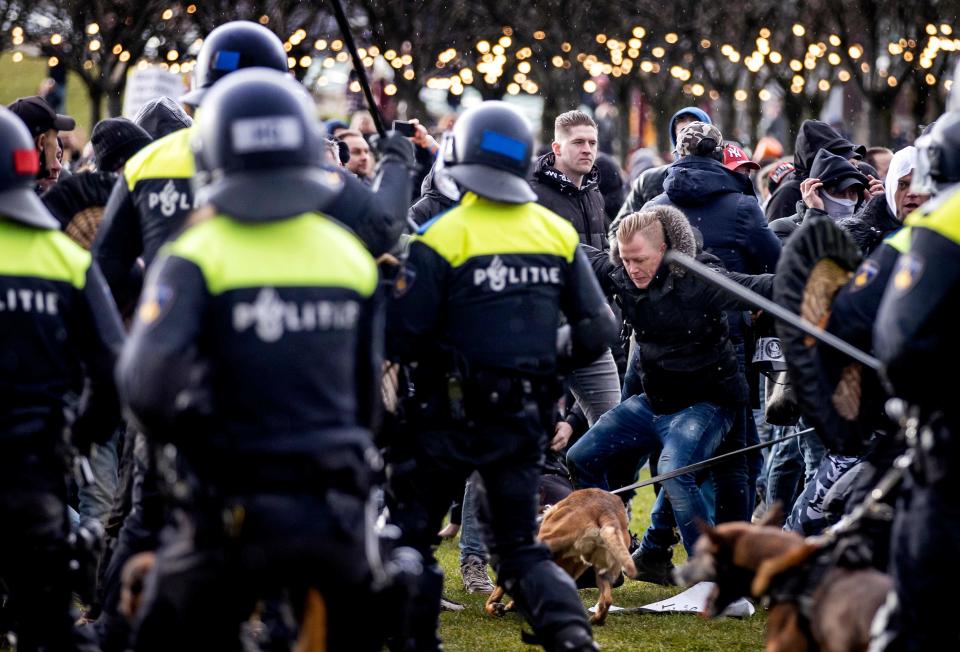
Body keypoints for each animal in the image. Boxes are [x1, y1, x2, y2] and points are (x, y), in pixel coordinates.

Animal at [488, 488, 636, 628]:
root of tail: (605, 509)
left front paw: (495, 607)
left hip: (548, 541)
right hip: (603, 569)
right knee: (607, 599)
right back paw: (596, 620)